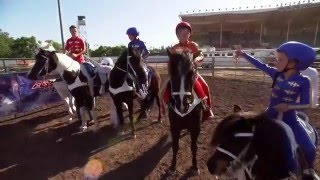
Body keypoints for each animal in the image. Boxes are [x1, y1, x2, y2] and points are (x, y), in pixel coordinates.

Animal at [165, 47, 202, 176]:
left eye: (191, 73)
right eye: (172, 72)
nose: (181, 104)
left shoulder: (196, 128)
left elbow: (194, 146)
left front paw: (195, 167)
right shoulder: (174, 127)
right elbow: (175, 146)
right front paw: (172, 167)